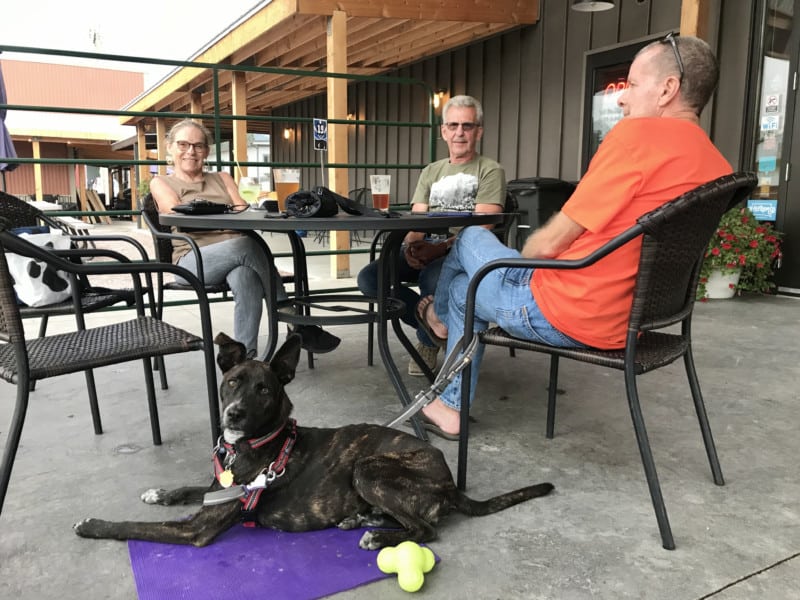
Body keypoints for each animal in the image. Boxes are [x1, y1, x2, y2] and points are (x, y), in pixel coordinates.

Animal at [73, 332, 552, 548]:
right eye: (231, 382)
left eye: (264, 390)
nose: (233, 414)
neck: (253, 443)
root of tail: (450, 483)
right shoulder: (216, 489)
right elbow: (190, 487)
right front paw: (159, 492)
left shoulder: (197, 529)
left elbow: (134, 527)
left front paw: (93, 524)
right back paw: (362, 520)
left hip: (369, 467)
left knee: (426, 529)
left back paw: (379, 537)